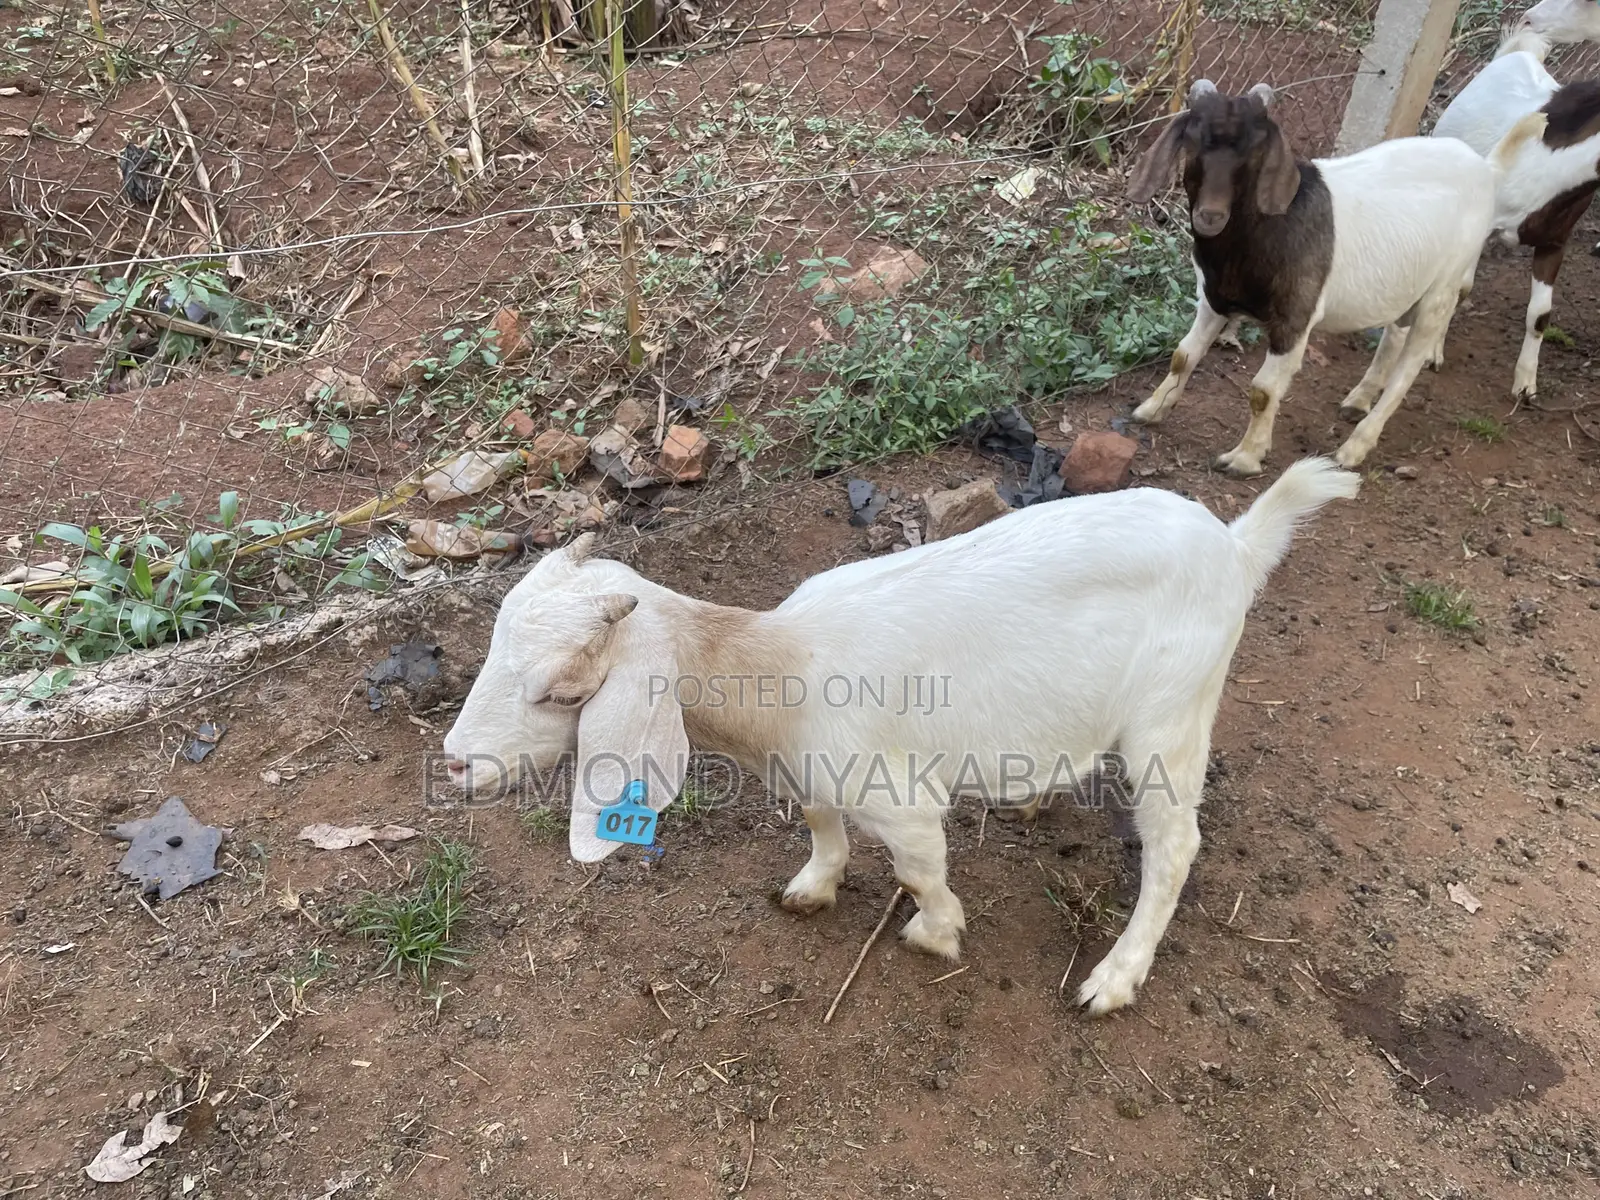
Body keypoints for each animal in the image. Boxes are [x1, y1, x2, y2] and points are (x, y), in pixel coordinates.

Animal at [441, 459, 1360, 1014]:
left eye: (562, 689)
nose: (455, 767)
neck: (779, 670)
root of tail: (1236, 546)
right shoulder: (808, 775)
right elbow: (820, 828)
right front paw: (813, 887)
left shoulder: (902, 800)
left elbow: (920, 869)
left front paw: (936, 933)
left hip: (1174, 709)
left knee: (1174, 845)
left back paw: (1115, 976)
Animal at [1126, 80, 1496, 477]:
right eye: (1192, 140)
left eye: (1256, 150)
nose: (1210, 215)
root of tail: (1480, 165)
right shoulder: (1214, 299)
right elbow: (1183, 355)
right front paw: (1150, 410)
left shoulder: (1295, 316)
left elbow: (1263, 391)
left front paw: (1245, 457)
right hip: (1409, 285)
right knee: (1395, 335)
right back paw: (1357, 401)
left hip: (1443, 287)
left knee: (1410, 365)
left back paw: (1353, 448)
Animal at [1432, 14, 1600, 400]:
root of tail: (1520, 52)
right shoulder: (1484, 225)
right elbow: (1460, 287)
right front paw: (1432, 353)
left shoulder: (1554, 241)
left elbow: (1540, 315)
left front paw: (1525, 384)